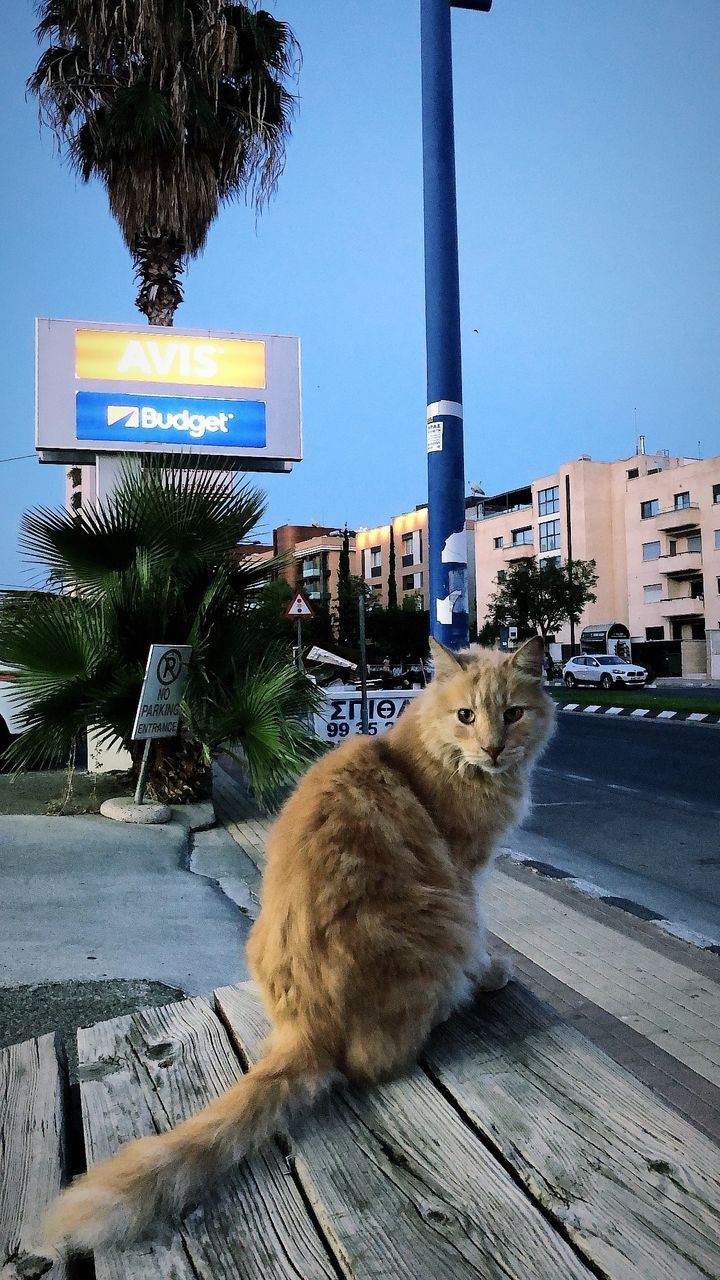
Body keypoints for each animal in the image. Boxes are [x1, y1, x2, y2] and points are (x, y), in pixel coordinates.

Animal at [46, 634, 548, 1254]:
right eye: (466, 716)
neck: (431, 756)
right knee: (381, 1057)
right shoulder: (465, 876)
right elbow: (481, 942)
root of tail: (306, 1025)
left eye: (513, 714)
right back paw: (455, 1003)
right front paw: (493, 972)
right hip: (443, 919)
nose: (494, 747)